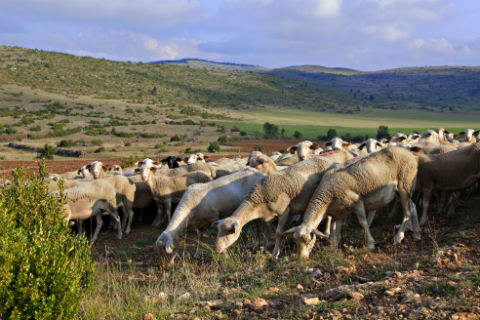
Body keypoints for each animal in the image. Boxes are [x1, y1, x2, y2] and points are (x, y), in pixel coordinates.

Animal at [284, 146, 420, 258]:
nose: (302, 260)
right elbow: (337, 231)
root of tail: (410, 154)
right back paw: (417, 234)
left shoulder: (357, 202)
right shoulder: (339, 213)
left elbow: (363, 223)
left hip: (404, 186)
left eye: (308, 241)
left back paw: (398, 237)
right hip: (401, 191)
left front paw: (370, 244)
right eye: (295, 242)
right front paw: (333, 248)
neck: (326, 195)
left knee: (407, 212)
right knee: (413, 207)